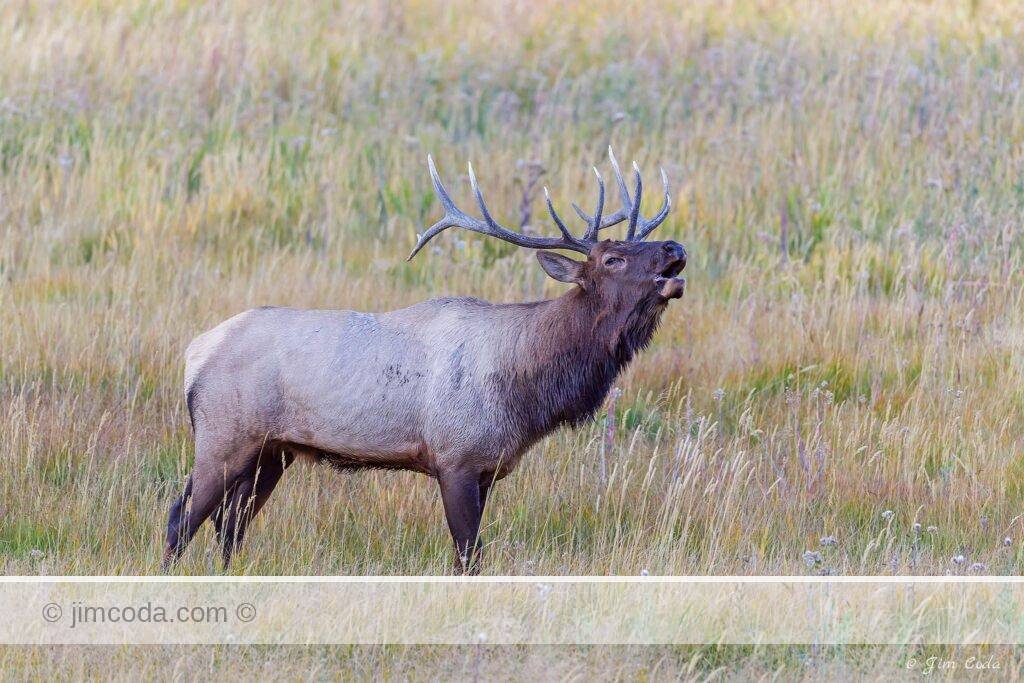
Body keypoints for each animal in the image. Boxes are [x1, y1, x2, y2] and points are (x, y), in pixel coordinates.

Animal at [162, 147, 687, 572]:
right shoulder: (456, 457)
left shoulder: (487, 468)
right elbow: (469, 556)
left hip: (273, 450)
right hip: (224, 436)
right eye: (611, 259)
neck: (523, 390)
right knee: (181, 517)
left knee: (230, 524)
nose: (674, 247)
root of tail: (194, 352)